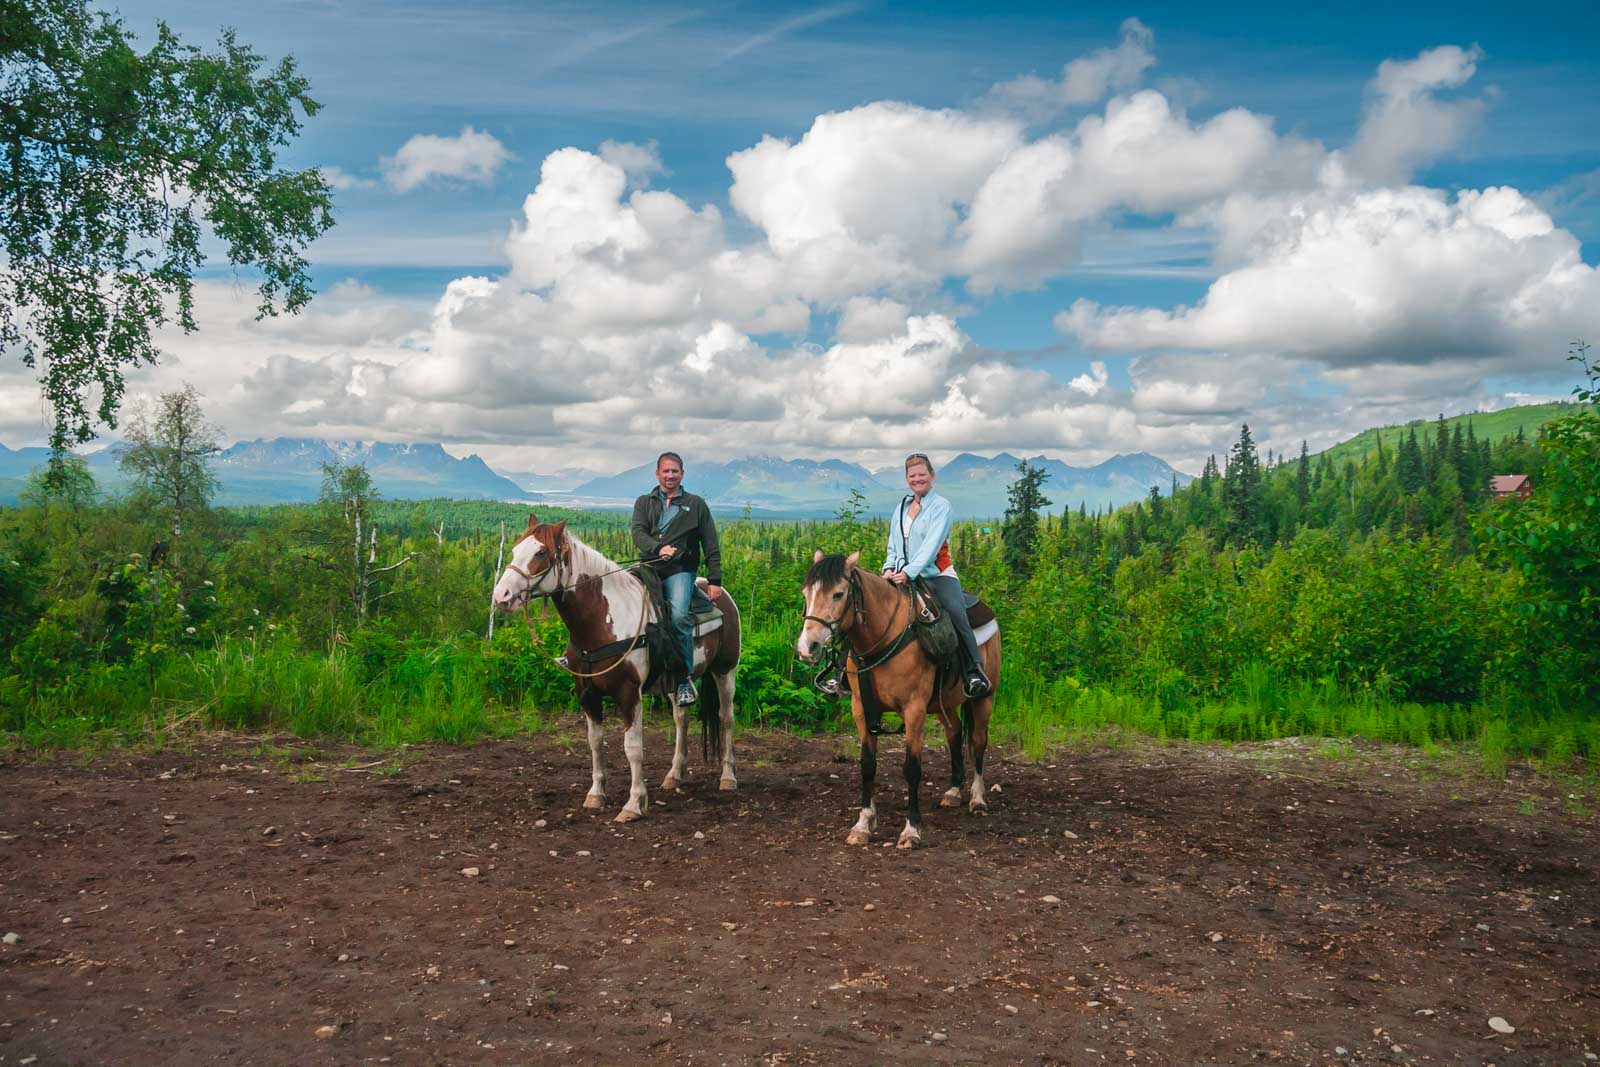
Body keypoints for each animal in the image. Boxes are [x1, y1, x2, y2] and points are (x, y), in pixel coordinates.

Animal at [489, 518, 739, 825]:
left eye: (540, 553)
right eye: (514, 550)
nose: (501, 595)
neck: (602, 620)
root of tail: (721, 595)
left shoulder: (628, 694)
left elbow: (632, 747)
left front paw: (634, 804)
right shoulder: (587, 693)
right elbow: (595, 742)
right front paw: (596, 794)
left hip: (725, 670)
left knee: (726, 717)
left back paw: (728, 777)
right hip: (678, 679)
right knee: (682, 718)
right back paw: (674, 775)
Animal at [790, 556, 992, 844]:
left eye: (838, 594)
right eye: (806, 593)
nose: (807, 648)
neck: (883, 638)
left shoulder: (914, 710)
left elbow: (912, 768)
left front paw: (912, 829)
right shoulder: (862, 709)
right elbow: (867, 765)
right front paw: (863, 824)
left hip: (983, 699)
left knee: (978, 742)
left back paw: (977, 798)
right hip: (943, 704)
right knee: (953, 733)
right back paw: (953, 792)